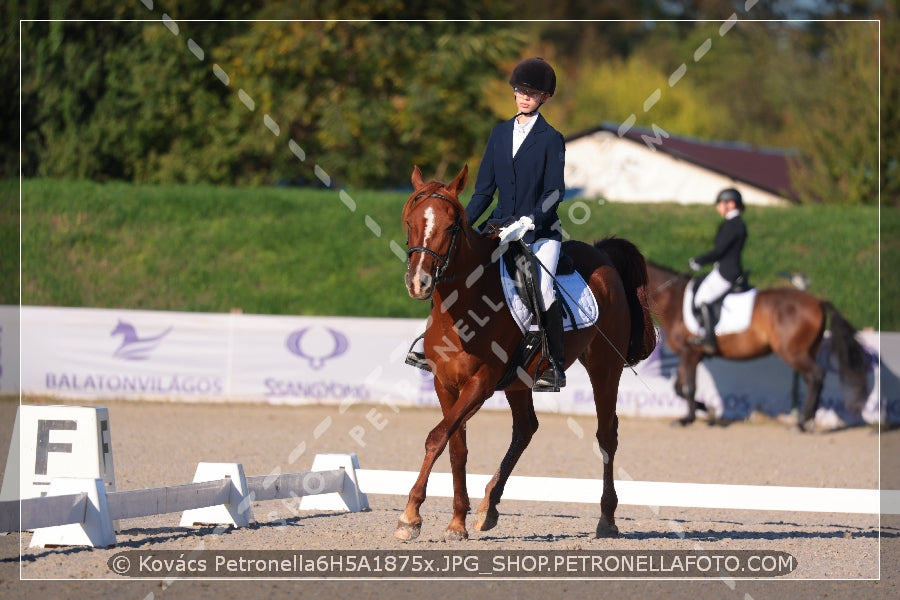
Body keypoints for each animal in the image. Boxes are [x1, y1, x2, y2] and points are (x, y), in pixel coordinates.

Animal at [398, 165, 656, 544]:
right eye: (410, 222)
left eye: (451, 226)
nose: (419, 282)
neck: (463, 306)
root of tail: (602, 256)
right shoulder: (445, 383)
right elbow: (454, 445)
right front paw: (457, 521)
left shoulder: (481, 383)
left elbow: (437, 437)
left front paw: (410, 516)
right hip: (520, 381)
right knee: (525, 429)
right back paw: (488, 507)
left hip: (604, 367)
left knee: (606, 435)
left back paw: (607, 519)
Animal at [644, 260, 868, 428]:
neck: (672, 299)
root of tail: (818, 302)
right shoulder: (689, 355)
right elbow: (679, 388)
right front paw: (708, 410)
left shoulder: (690, 353)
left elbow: (689, 388)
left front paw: (690, 419)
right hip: (807, 351)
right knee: (812, 379)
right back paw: (808, 420)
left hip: (792, 352)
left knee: (816, 375)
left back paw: (802, 422)